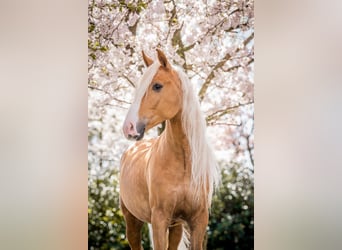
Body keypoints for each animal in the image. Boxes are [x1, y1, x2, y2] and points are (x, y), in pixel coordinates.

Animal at [119, 48, 219, 250]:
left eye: (157, 86)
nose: (129, 127)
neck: (183, 162)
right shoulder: (159, 219)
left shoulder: (198, 220)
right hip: (132, 221)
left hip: (176, 227)